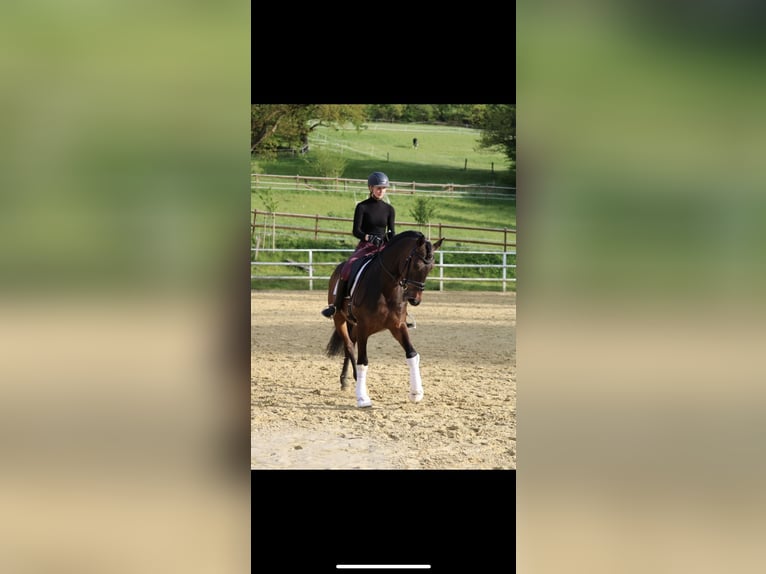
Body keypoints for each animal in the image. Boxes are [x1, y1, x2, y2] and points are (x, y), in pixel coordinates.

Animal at [324, 230, 444, 407]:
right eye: (416, 265)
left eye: (431, 268)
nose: (415, 299)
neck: (386, 288)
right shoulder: (363, 327)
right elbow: (363, 361)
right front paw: (363, 398)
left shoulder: (398, 326)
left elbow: (412, 354)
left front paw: (416, 393)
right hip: (340, 319)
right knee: (349, 346)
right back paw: (352, 380)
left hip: (354, 326)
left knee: (350, 345)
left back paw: (348, 380)